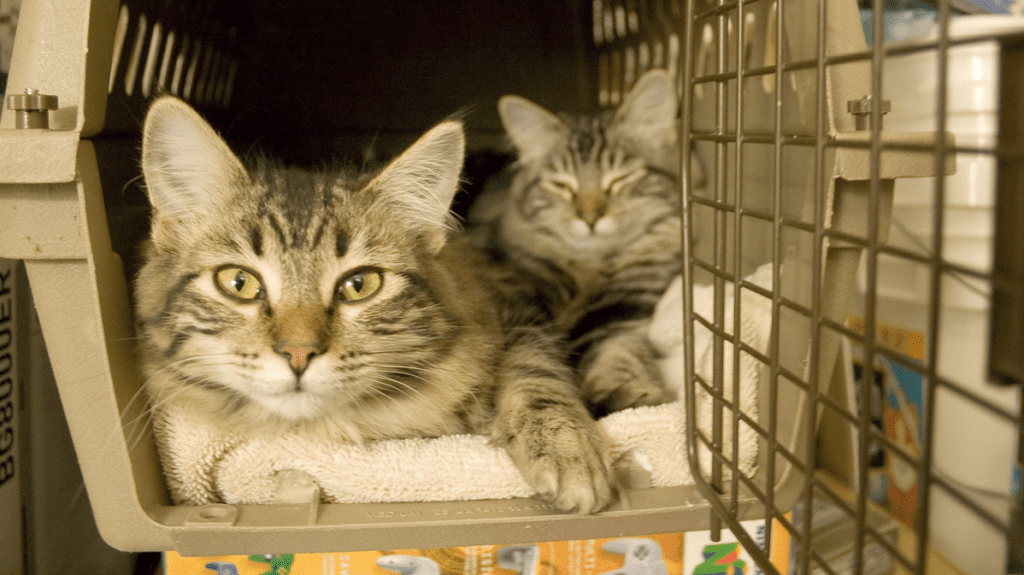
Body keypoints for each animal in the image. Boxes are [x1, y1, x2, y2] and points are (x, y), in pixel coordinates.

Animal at [136, 96, 614, 511]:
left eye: (359, 285)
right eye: (239, 283)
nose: (298, 354)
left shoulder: (516, 306)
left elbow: (535, 371)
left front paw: (569, 450)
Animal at [468, 69, 679, 413]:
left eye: (620, 179)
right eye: (561, 185)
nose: (590, 217)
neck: (588, 267)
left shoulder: (620, 308)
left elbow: (616, 352)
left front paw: (624, 393)